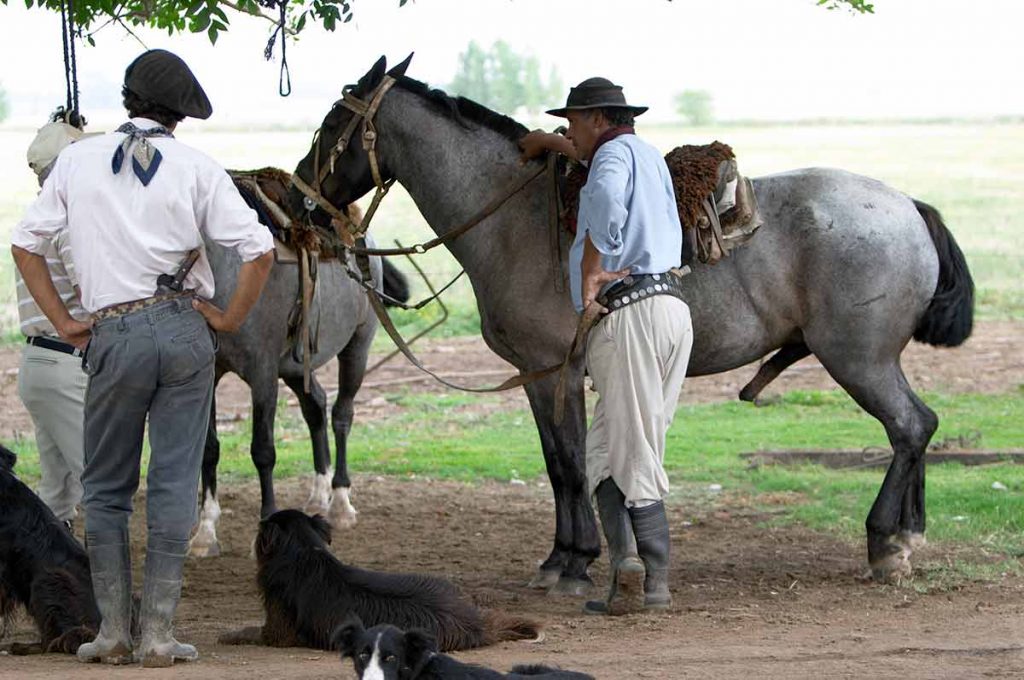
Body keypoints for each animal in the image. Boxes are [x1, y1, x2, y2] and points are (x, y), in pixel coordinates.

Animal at [288, 57, 974, 589]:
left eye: (332, 125)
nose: (298, 198)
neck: (513, 218)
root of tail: (907, 206)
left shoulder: (556, 370)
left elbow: (569, 465)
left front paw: (575, 561)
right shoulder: (536, 375)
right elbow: (555, 464)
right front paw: (560, 556)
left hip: (858, 360)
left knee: (911, 426)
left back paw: (885, 542)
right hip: (874, 362)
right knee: (915, 430)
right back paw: (909, 535)